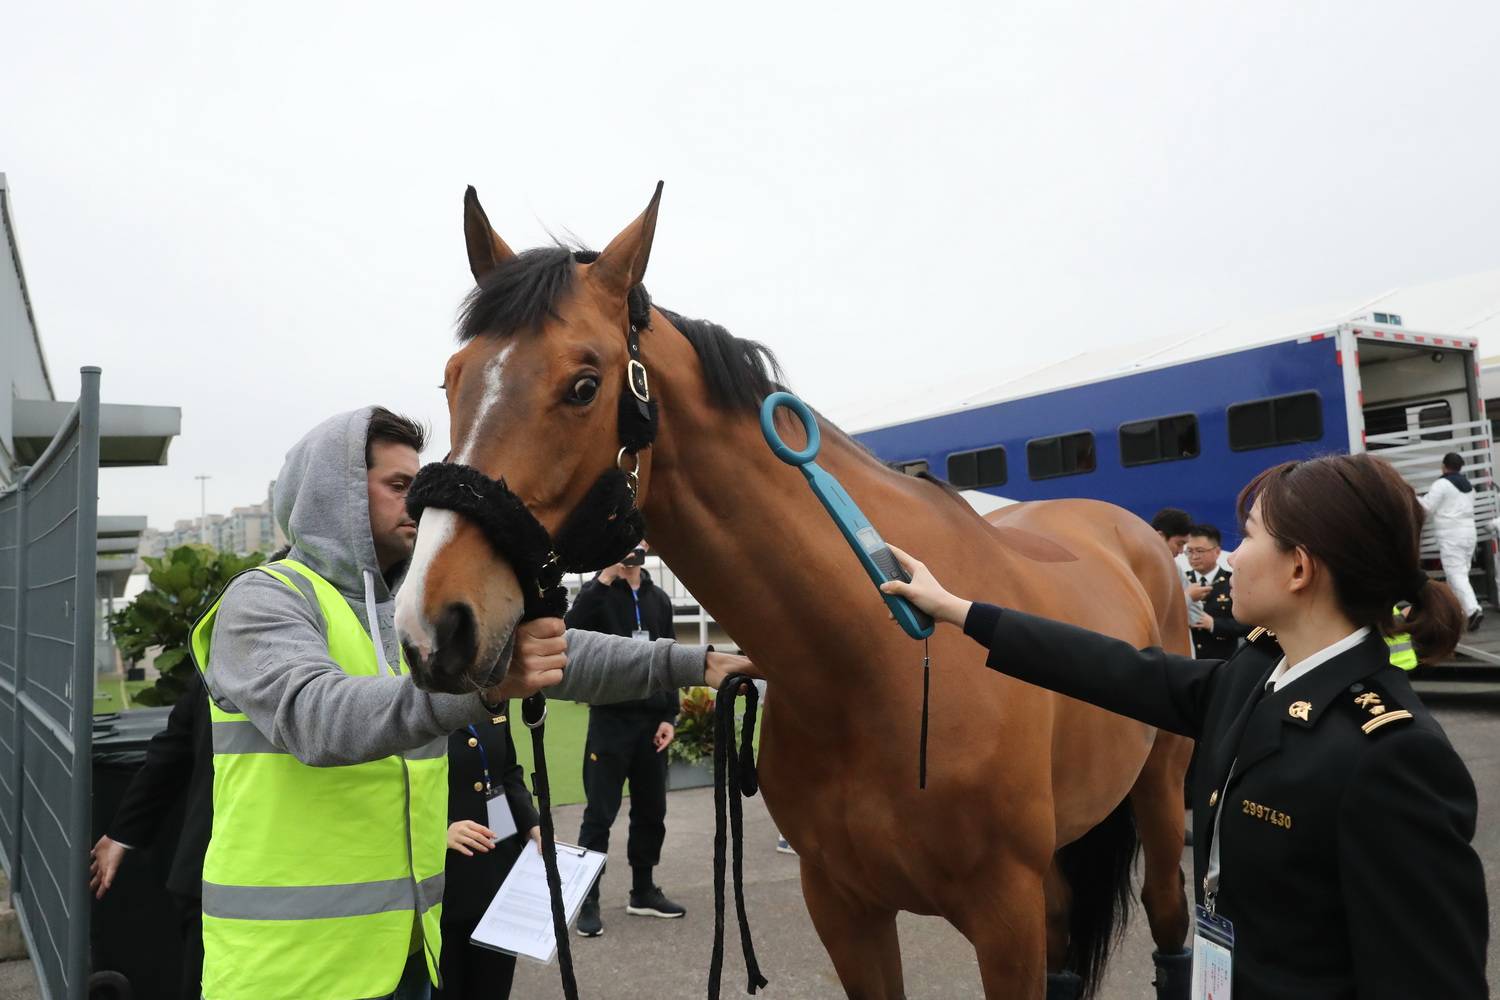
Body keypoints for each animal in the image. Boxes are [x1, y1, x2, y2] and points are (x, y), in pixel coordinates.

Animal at [399, 183, 1194, 995]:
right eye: (452, 378)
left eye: (584, 385)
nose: (434, 624)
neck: (876, 664)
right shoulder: (844, 907)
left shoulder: (1006, 918)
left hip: (1162, 791)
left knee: (1169, 916)